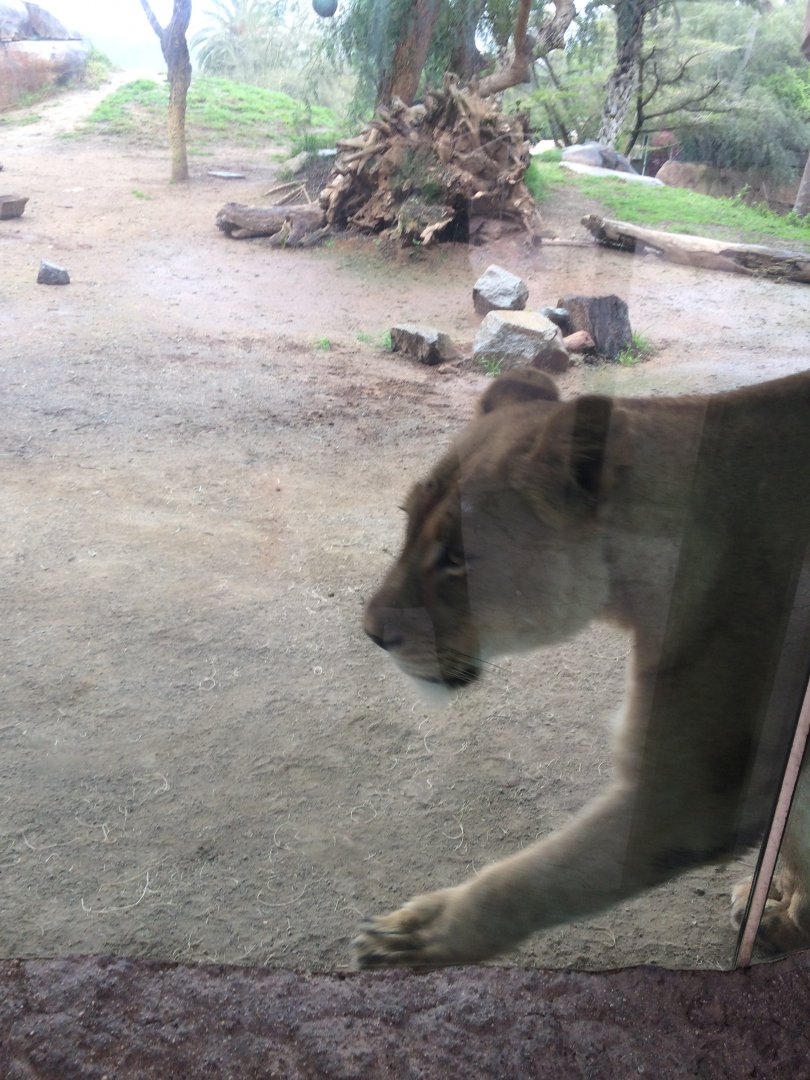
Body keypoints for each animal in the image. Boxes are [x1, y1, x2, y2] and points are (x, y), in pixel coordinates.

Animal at [355, 367, 810, 968]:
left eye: (455, 556)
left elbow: (531, 878)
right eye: (407, 524)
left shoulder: (694, 791)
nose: (372, 633)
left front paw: (422, 932)